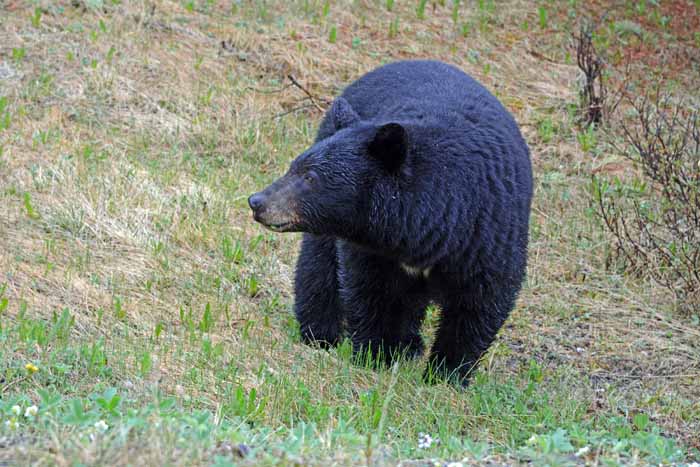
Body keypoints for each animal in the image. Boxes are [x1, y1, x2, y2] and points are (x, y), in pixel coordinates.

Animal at [250, 60, 532, 386]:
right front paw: (374, 355)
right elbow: (369, 291)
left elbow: (480, 303)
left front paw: (446, 375)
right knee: (319, 265)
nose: (257, 201)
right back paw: (320, 334)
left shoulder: (487, 235)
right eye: (294, 166)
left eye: (310, 177)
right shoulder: (371, 246)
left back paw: (408, 345)